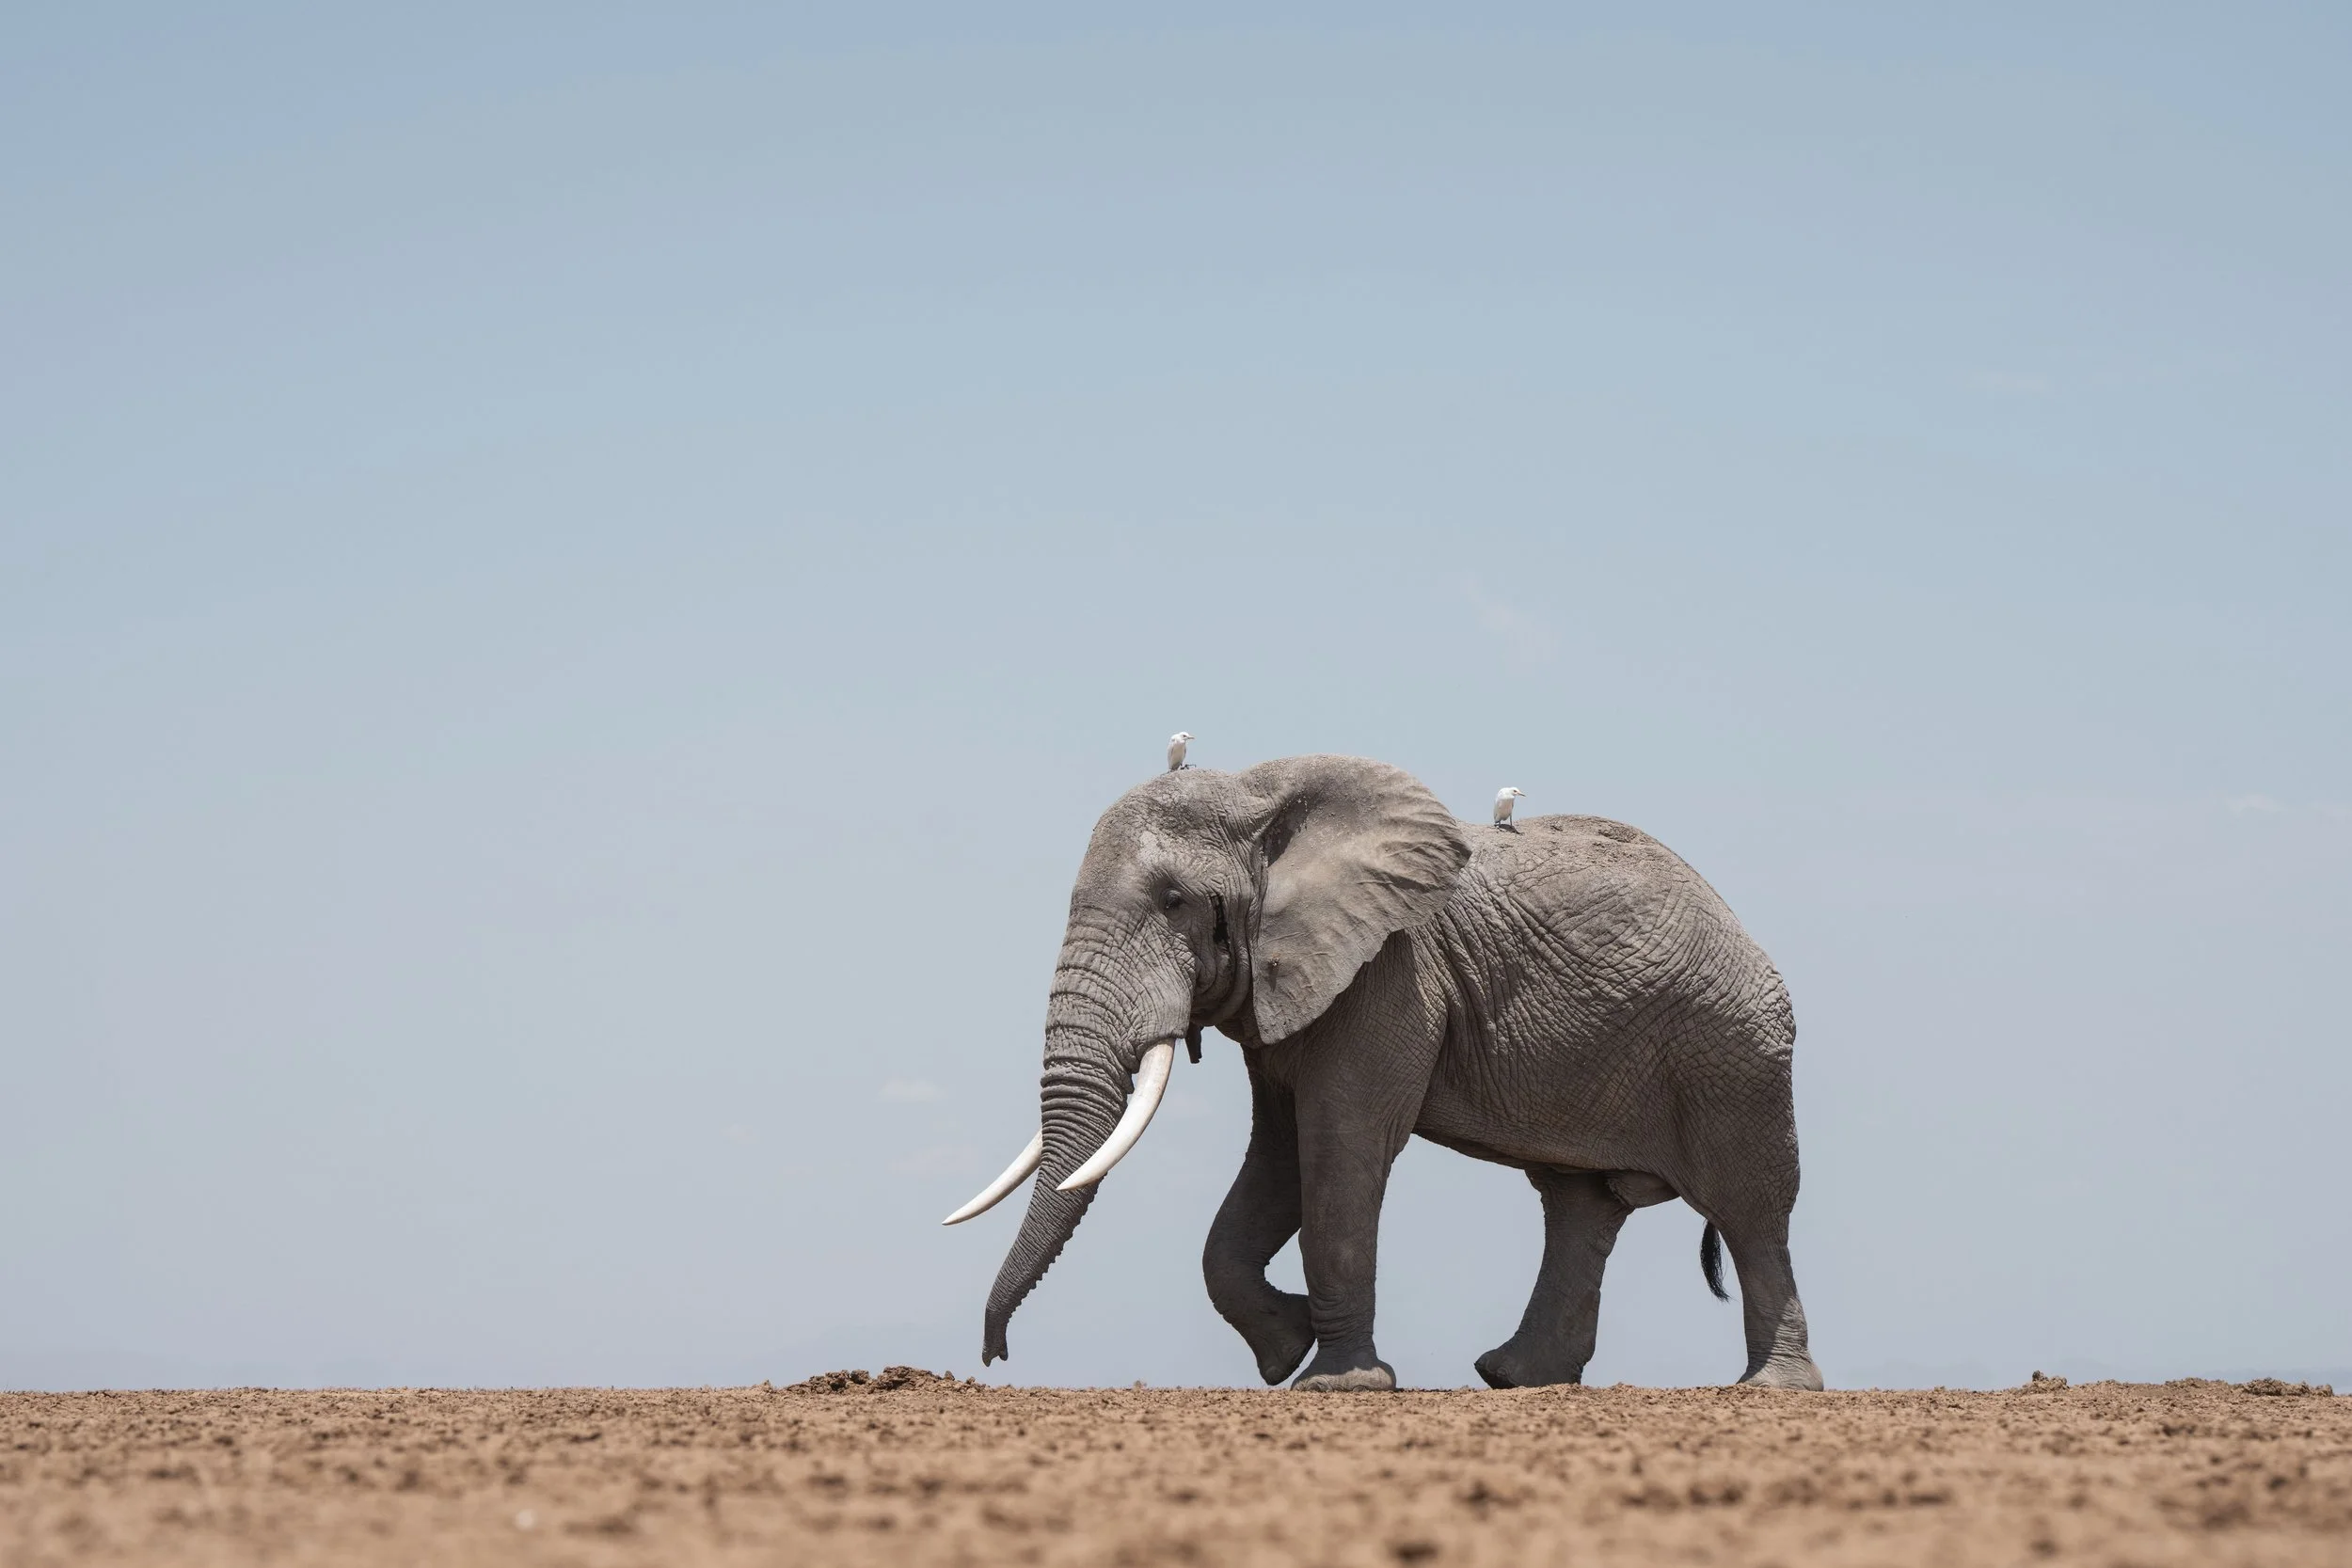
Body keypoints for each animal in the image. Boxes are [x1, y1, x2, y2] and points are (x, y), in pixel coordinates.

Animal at [945, 754, 1823, 1392]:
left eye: (1173, 901)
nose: (995, 1356)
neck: (1265, 801)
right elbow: (1278, 1160)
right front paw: (1286, 1348)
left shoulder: (1391, 971)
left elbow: (1341, 1147)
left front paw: (1340, 1385)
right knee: (1579, 1204)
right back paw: (1515, 1378)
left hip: (1733, 1052)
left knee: (1750, 1207)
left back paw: (1772, 1389)